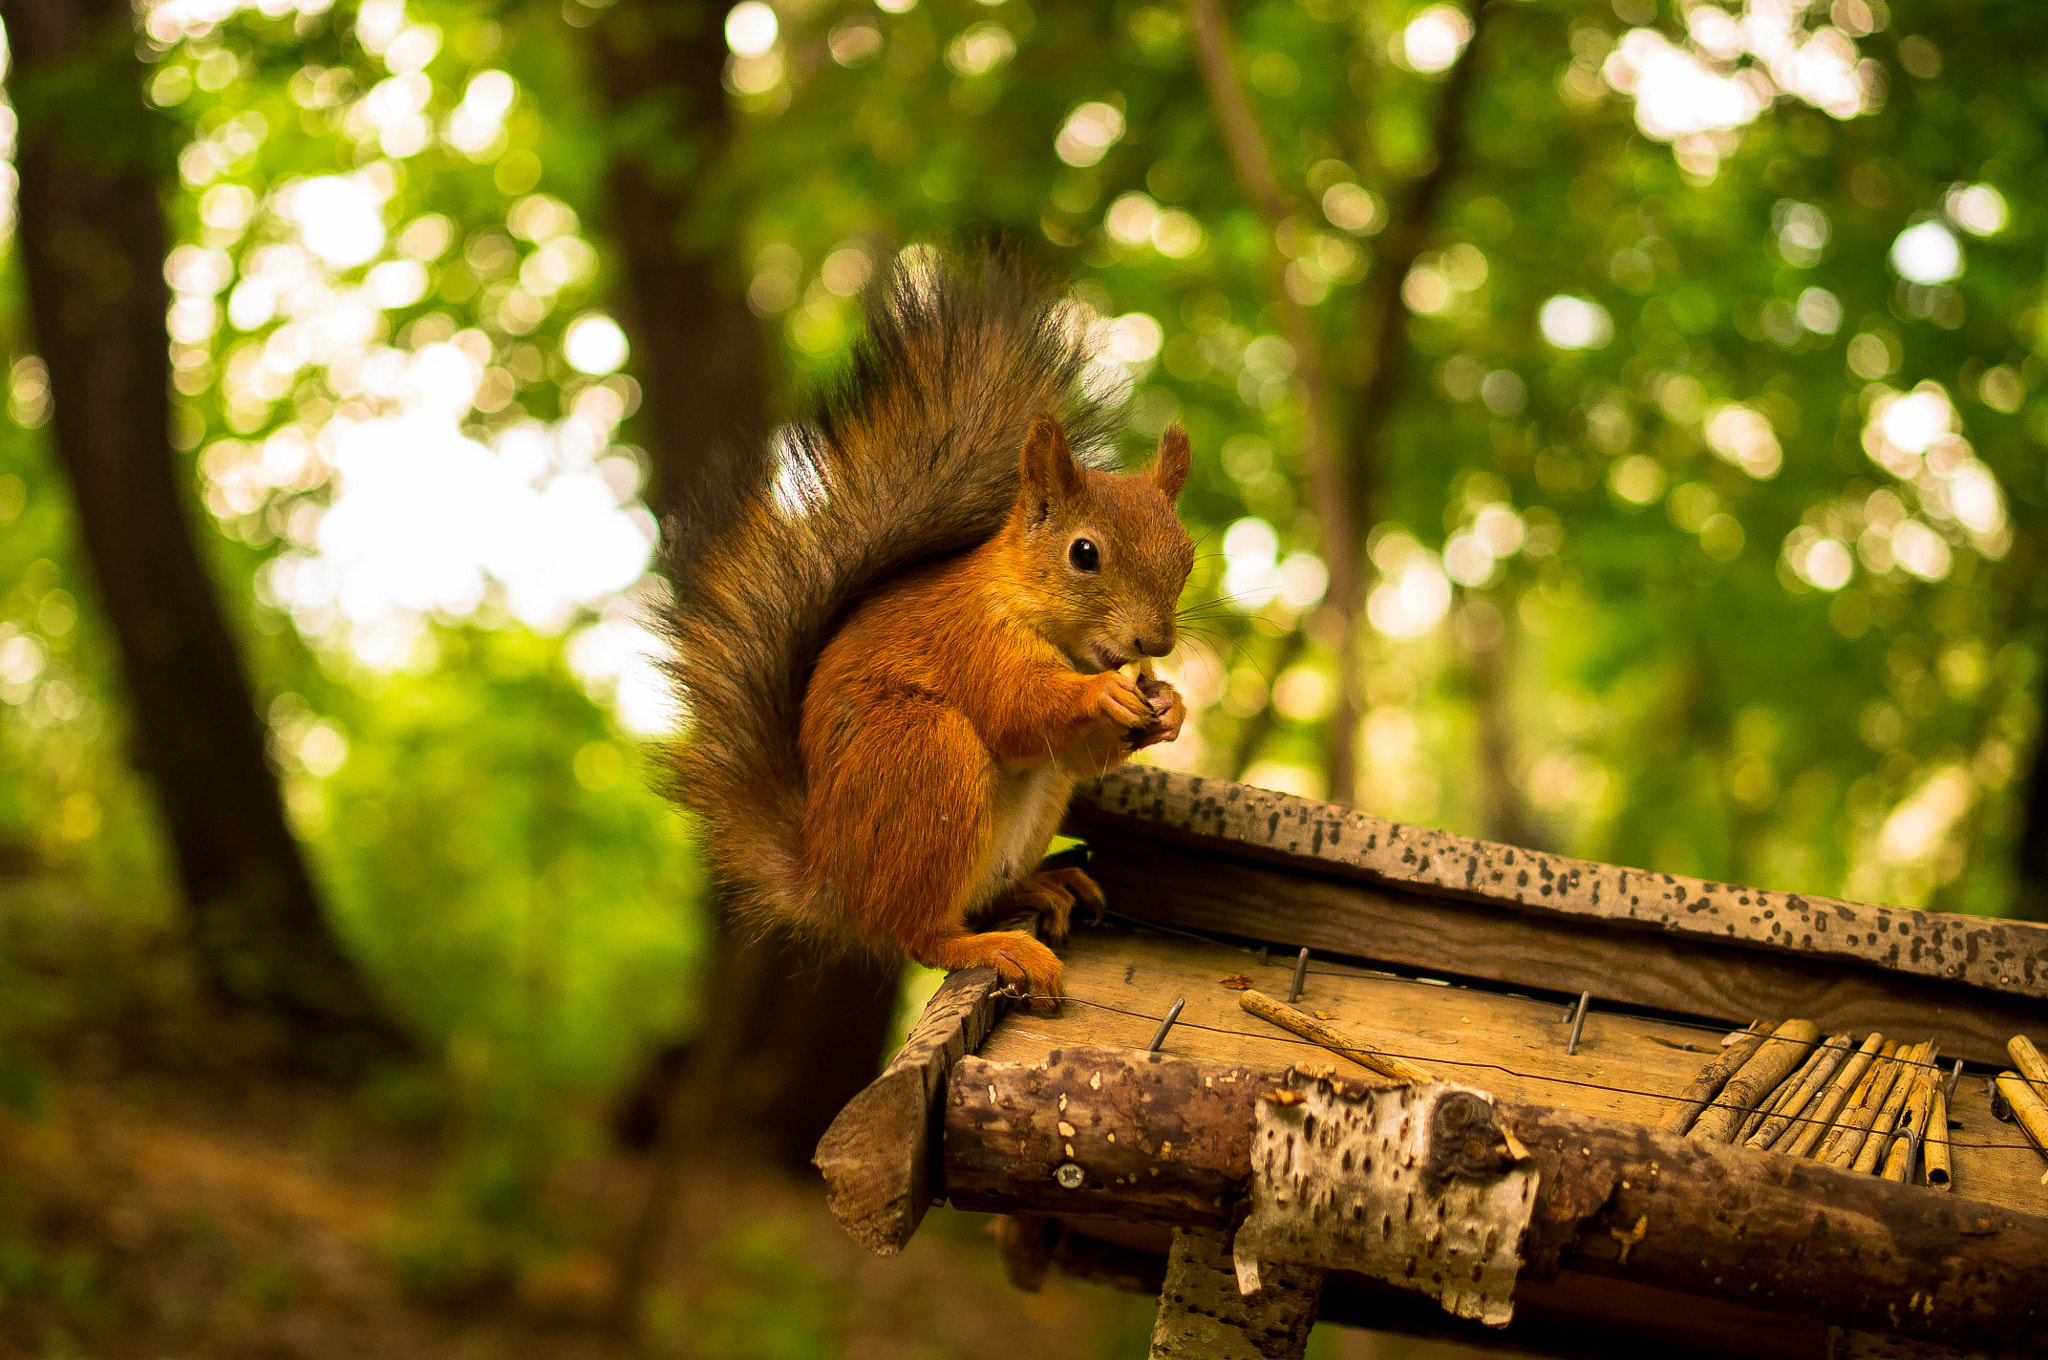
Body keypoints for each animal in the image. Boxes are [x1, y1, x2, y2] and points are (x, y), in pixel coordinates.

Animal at [663, 251, 1196, 1007]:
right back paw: (992, 946)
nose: (1155, 645)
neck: (1032, 611)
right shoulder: (970, 638)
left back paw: (1043, 886)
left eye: (1186, 556)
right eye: (1085, 554)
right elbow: (1013, 709)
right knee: (919, 933)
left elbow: (1077, 753)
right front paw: (1103, 696)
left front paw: (1169, 706)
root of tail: (831, 882)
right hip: (925, 754)